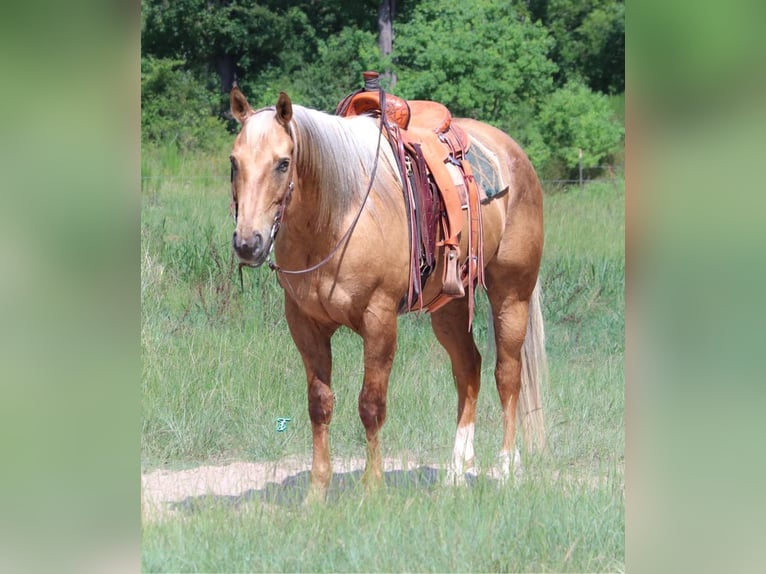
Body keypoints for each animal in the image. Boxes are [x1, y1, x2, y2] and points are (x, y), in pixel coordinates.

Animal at [228, 86, 544, 504]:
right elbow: (319, 405)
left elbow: (371, 405)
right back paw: (455, 472)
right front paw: (316, 492)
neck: (336, 216)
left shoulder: (379, 320)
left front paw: (372, 489)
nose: (248, 243)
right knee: (468, 369)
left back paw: (507, 469)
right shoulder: (305, 324)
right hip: (449, 307)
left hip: (512, 293)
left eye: (283, 163)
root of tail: (514, 153)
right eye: (234, 162)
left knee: (507, 374)